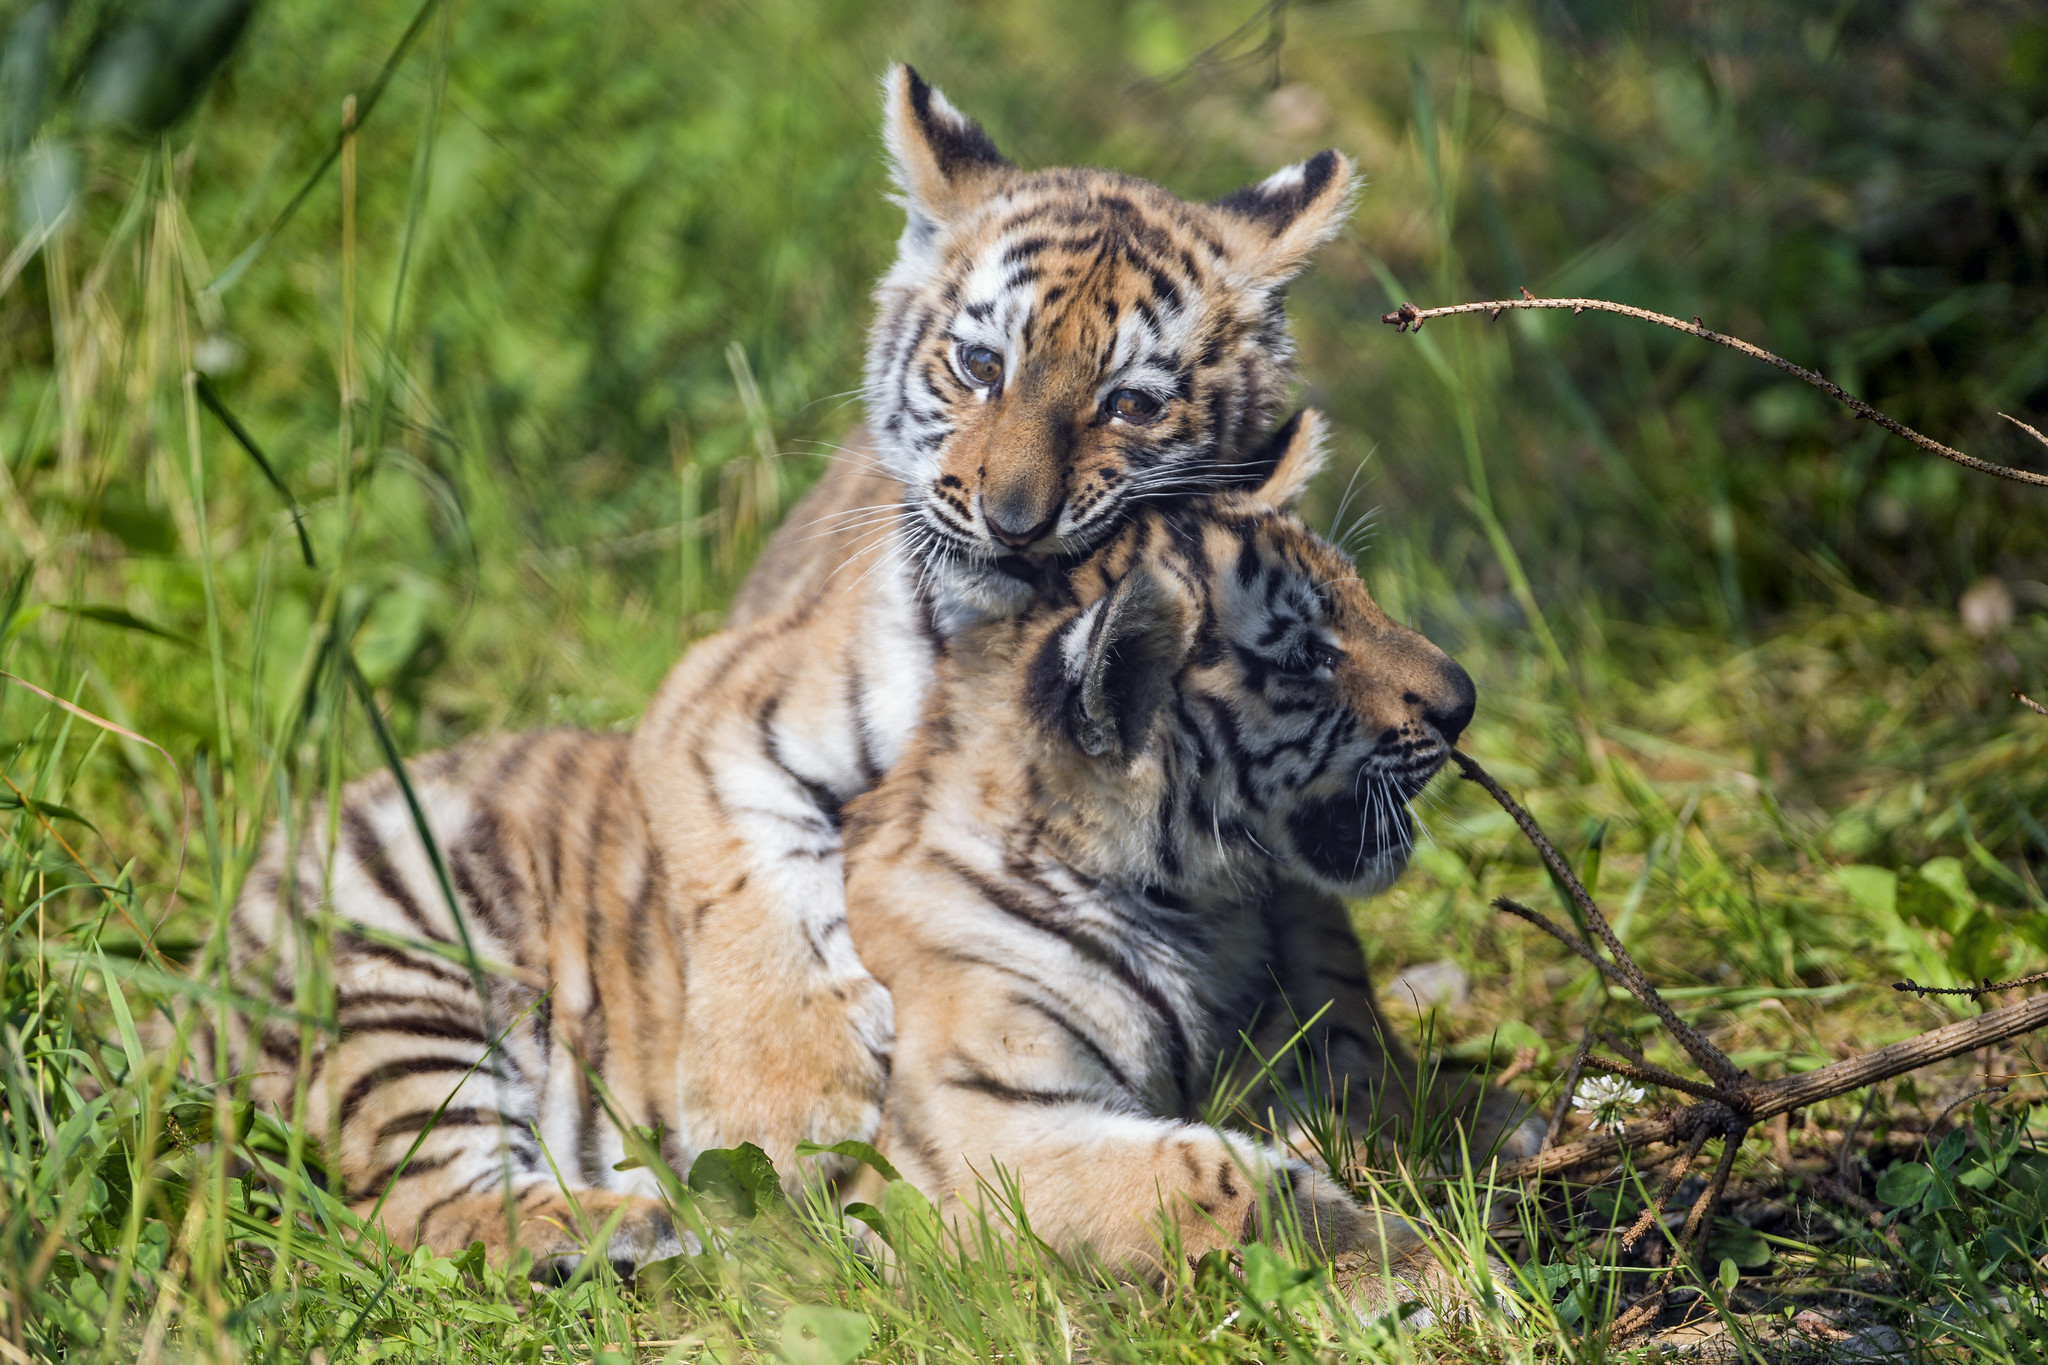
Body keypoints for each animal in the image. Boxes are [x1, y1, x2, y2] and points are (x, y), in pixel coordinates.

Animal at [839, 411, 1505, 1311]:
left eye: (1365, 598)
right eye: (1304, 656)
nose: (1464, 701)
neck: (1181, 907)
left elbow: (1349, 1086)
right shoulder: (987, 1124)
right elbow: (1219, 1174)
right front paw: (1422, 1269)